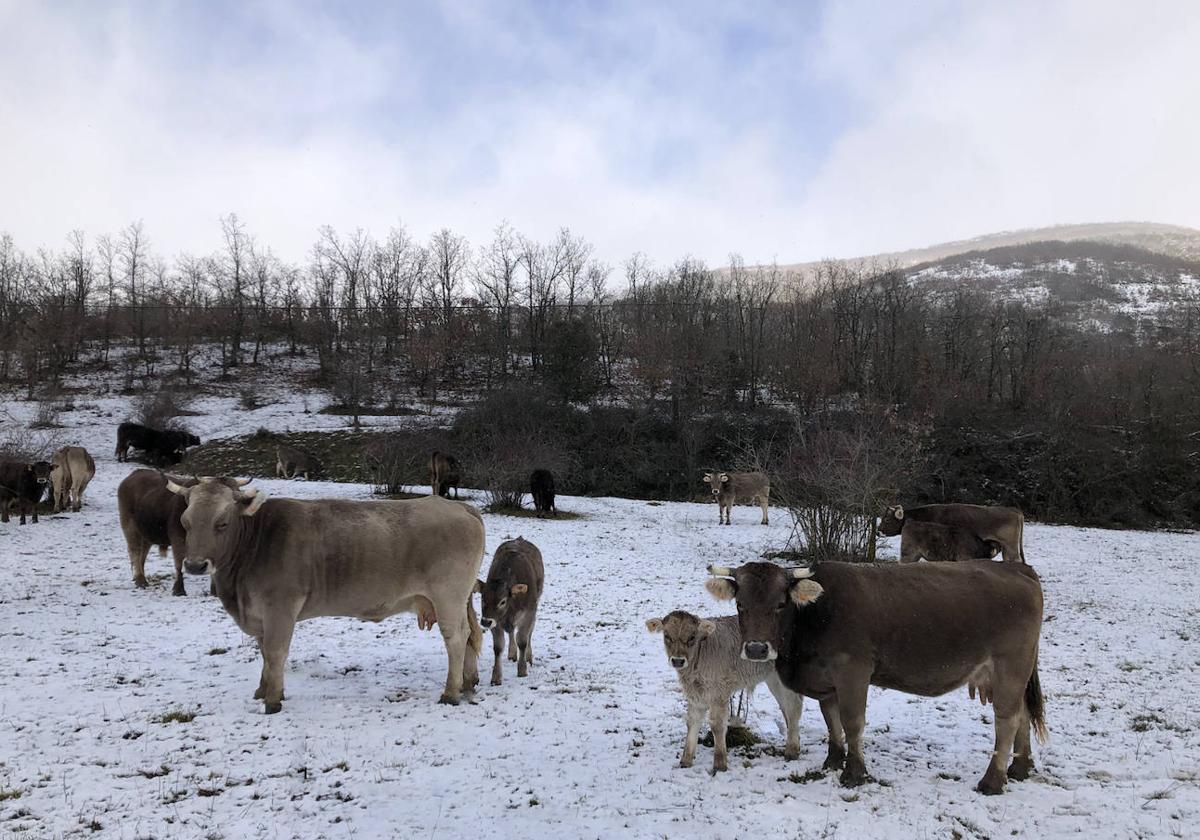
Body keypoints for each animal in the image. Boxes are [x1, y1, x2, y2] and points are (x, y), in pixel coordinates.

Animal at [166, 480, 484, 715]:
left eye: (222, 523)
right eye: (185, 522)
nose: (195, 565)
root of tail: (459, 506)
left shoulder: (280, 608)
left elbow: (275, 652)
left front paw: (273, 700)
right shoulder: (259, 615)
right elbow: (264, 652)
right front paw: (262, 690)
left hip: (448, 596)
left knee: (456, 637)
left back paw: (451, 693)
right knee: (469, 636)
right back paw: (468, 683)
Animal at [643, 609, 801, 772]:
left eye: (692, 636)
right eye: (667, 636)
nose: (678, 661)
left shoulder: (719, 693)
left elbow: (717, 725)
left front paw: (720, 763)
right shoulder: (695, 695)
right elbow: (692, 722)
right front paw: (686, 760)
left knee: (794, 707)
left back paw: (792, 750)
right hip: (773, 678)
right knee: (786, 707)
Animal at [705, 556, 1046, 792]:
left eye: (779, 604)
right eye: (740, 604)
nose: (757, 649)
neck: (815, 615)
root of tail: (1016, 568)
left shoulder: (853, 671)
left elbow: (852, 722)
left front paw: (854, 772)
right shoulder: (826, 680)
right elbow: (832, 720)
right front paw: (833, 761)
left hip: (1009, 665)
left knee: (1007, 719)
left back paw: (992, 781)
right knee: (1024, 714)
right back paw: (1020, 768)